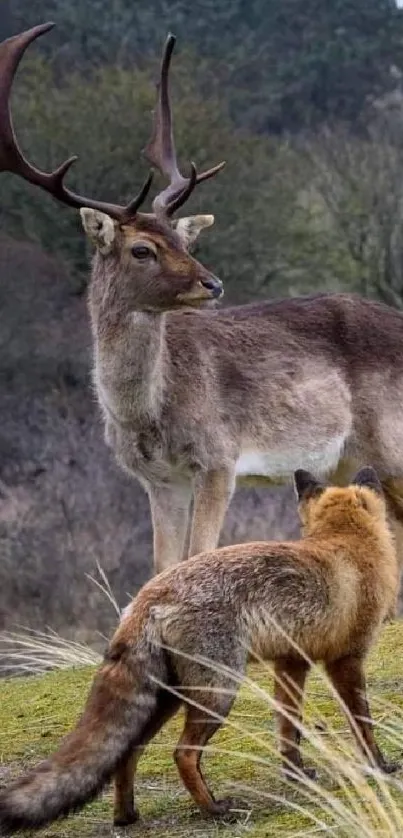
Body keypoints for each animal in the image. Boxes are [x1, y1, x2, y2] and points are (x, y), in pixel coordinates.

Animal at [0, 466, 400, 832]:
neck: (346, 541)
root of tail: (147, 596)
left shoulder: (290, 664)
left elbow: (289, 729)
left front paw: (296, 774)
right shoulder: (346, 659)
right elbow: (362, 724)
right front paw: (379, 766)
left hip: (169, 698)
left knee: (128, 753)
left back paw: (126, 816)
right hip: (219, 693)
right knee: (182, 754)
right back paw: (215, 809)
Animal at [3, 23, 403, 580]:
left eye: (184, 240)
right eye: (142, 248)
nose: (212, 283)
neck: (148, 414)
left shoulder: (219, 458)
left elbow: (198, 556)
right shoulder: (157, 477)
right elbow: (162, 564)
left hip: (392, 443)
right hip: (350, 459)